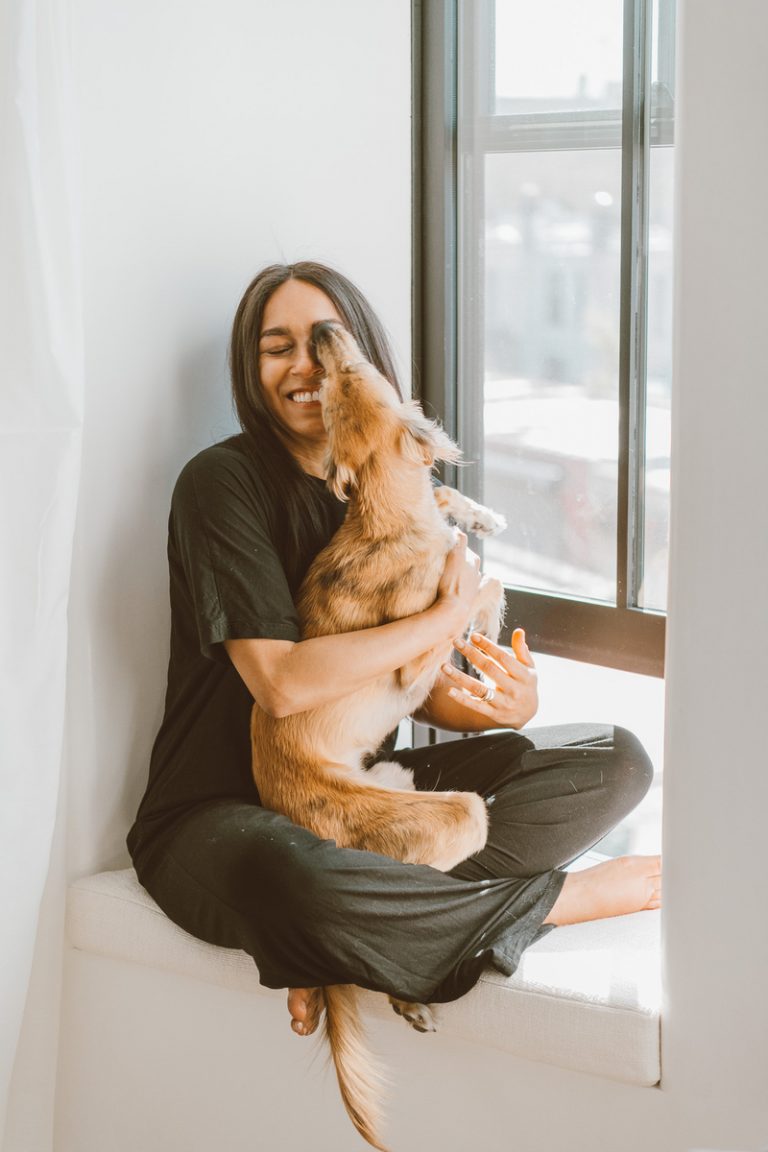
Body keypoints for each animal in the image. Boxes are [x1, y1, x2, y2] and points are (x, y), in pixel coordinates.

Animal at [249, 320, 506, 1147]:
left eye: (344, 380)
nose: (327, 329)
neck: (383, 511)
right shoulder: (412, 658)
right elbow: (473, 585)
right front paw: (485, 608)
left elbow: (452, 504)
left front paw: (482, 515)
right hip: (452, 814)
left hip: (399, 777)